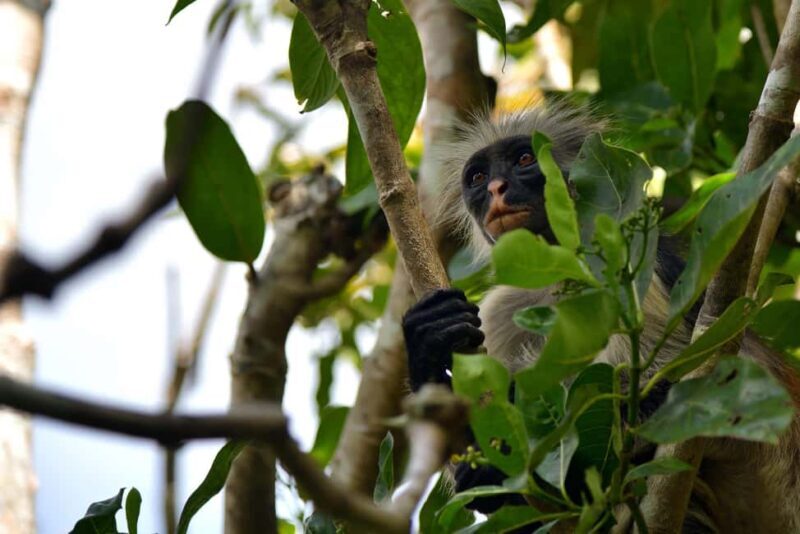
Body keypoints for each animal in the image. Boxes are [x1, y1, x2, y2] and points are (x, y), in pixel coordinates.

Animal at [402, 103, 800, 532]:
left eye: (523, 160)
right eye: (477, 177)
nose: (495, 188)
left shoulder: (633, 261)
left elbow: (664, 376)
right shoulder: (502, 306)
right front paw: (427, 342)